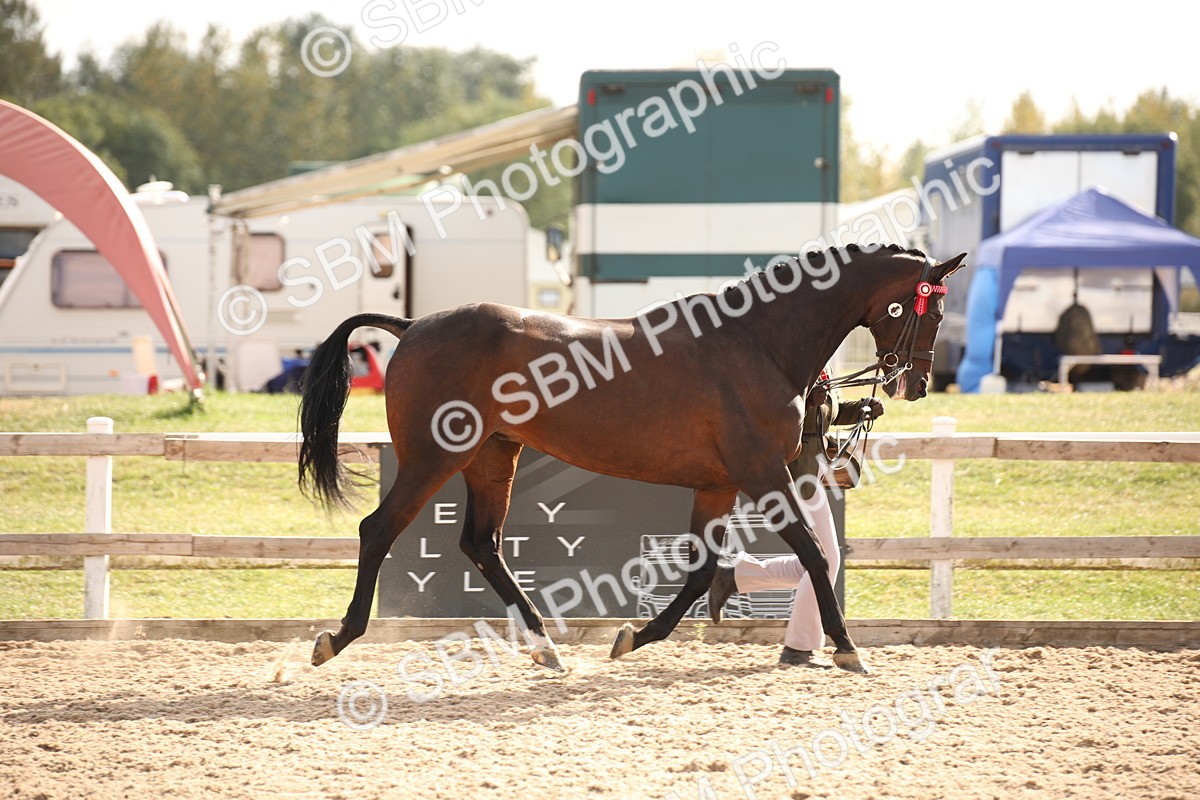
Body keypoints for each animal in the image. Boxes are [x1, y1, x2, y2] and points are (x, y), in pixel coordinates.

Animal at [298, 244, 967, 675]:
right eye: (929, 307)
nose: (916, 383)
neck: (759, 343)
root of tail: (411, 325)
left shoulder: (718, 486)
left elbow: (700, 571)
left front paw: (633, 637)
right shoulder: (762, 476)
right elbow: (810, 552)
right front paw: (849, 647)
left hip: (493, 457)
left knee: (480, 543)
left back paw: (545, 646)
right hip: (432, 456)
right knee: (379, 529)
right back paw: (337, 639)